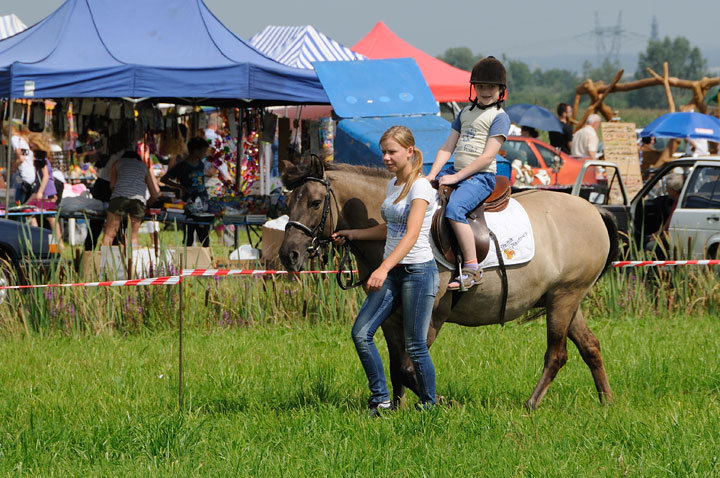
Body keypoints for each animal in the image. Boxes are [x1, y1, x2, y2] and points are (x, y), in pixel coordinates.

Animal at [278, 155, 616, 408]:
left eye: (315, 202)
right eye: (288, 203)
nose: (288, 255)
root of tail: (593, 209)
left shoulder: (430, 316)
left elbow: (409, 366)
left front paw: (439, 400)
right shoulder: (390, 319)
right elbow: (396, 367)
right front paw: (396, 408)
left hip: (564, 298)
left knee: (556, 354)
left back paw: (531, 404)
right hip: (565, 300)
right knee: (591, 347)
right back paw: (606, 402)